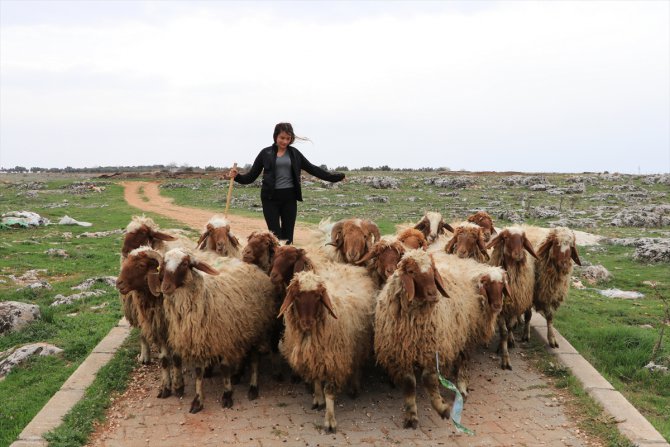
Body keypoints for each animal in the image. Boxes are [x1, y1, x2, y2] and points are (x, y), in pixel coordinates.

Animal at [115, 248, 184, 400]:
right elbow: (164, 360)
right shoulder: (160, 330)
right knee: (142, 335)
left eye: (141, 265)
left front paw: (178, 387)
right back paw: (145, 357)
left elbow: (177, 359)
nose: (118, 283)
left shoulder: (175, 332)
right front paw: (165, 388)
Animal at [488, 228, 540, 372]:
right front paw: (503, 353)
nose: (518, 254)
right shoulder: (500, 310)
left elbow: (510, 327)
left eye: (522, 239)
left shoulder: (515, 305)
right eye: (505, 237)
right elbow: (504, 331)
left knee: (527, 316)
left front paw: (505, 346)